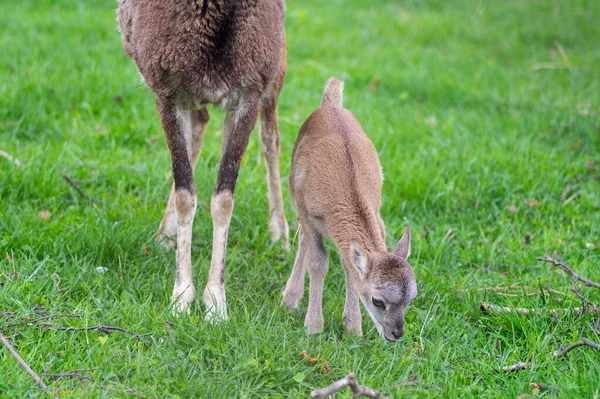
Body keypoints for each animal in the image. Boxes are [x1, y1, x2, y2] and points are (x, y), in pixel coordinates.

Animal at [117, 0, 290, 318]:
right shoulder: (170, 95)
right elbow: (186, 194)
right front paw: (182, 298)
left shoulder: (249, 92)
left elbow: (223, 200)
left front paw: (216, 305)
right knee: (200, 124)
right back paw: (164, 237)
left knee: (270, 138)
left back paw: (280, 236)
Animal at [282, 79, 418, 344]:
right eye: (378, 301)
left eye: (410, 300)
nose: (396, 334)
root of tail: (330, 105)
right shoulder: (310, 216)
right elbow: (318, 261)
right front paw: (313, 326)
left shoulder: (377, 218)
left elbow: (350, 265)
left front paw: (353, 328)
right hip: (295, 195)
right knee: (302, 238)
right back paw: (290, 297)